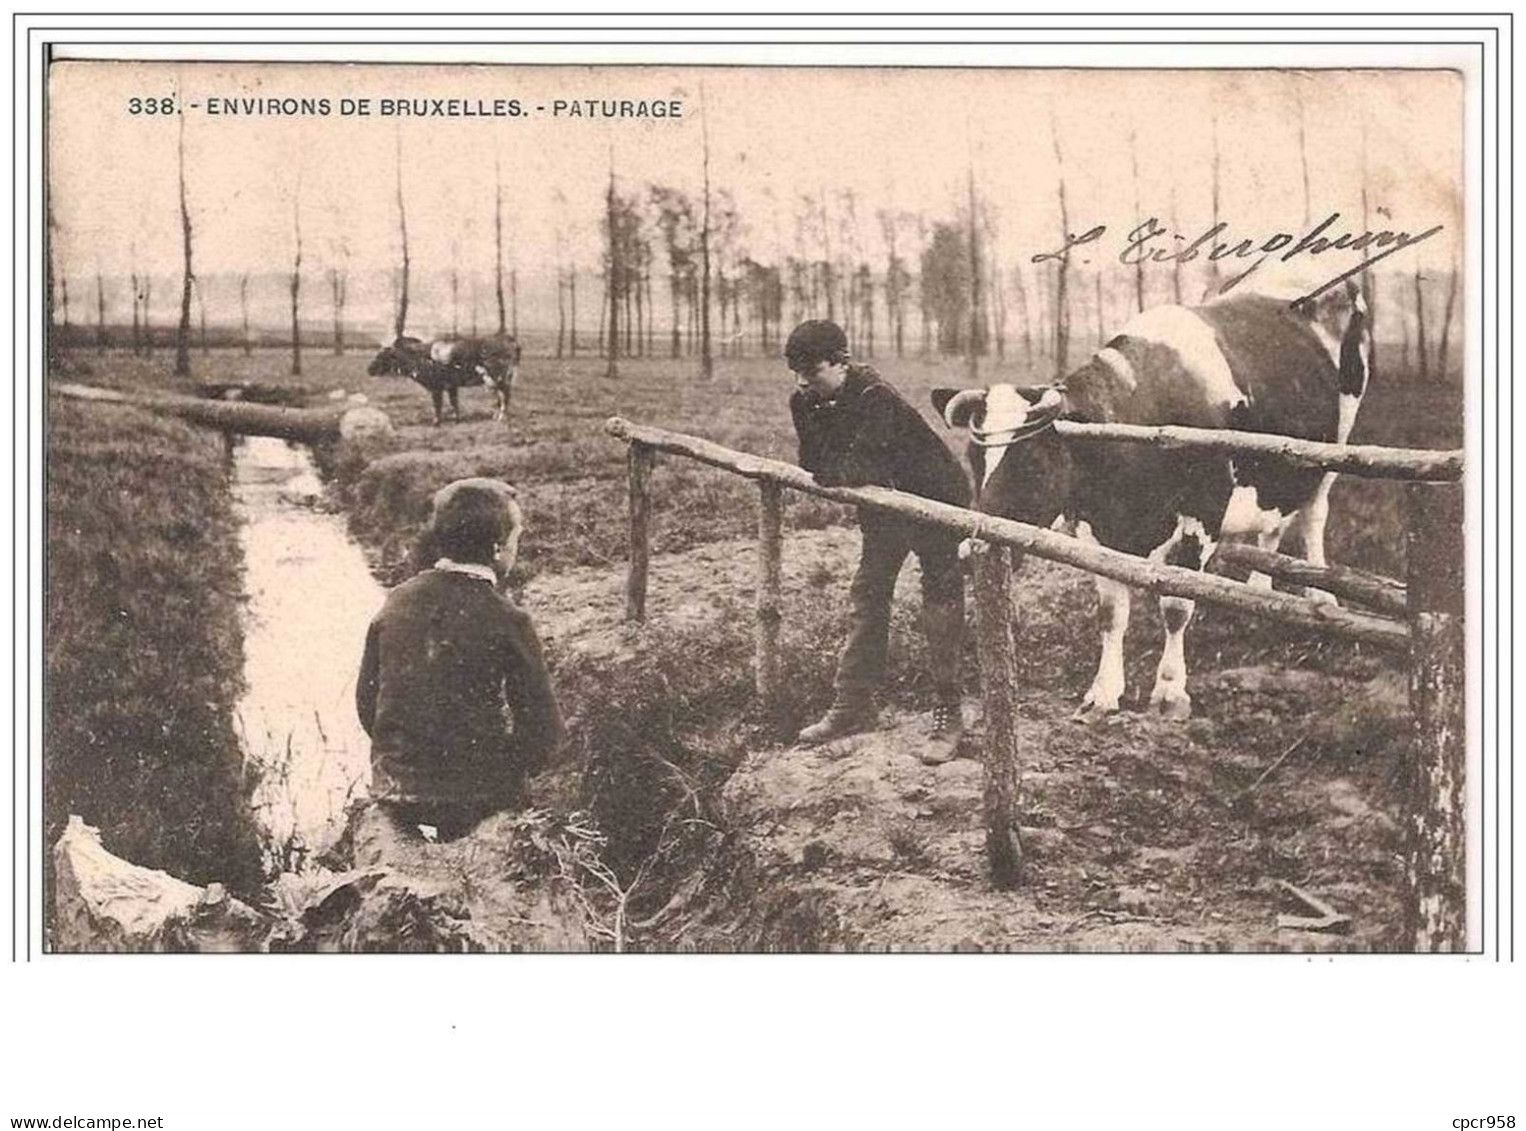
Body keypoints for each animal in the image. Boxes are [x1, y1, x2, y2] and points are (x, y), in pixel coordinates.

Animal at [927, 279, 1373, 720]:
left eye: (1032, 462)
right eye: (974, 459)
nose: (969, 551)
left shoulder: (1203, 513)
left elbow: (1176, 605)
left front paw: (1170, 692)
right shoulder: (1097, 525)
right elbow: (1110, 613)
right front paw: (1103, 692)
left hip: (1331, 451)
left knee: (1314, 516)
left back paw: (1321, 597)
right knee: (1274, 525)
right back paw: (1260, 592)